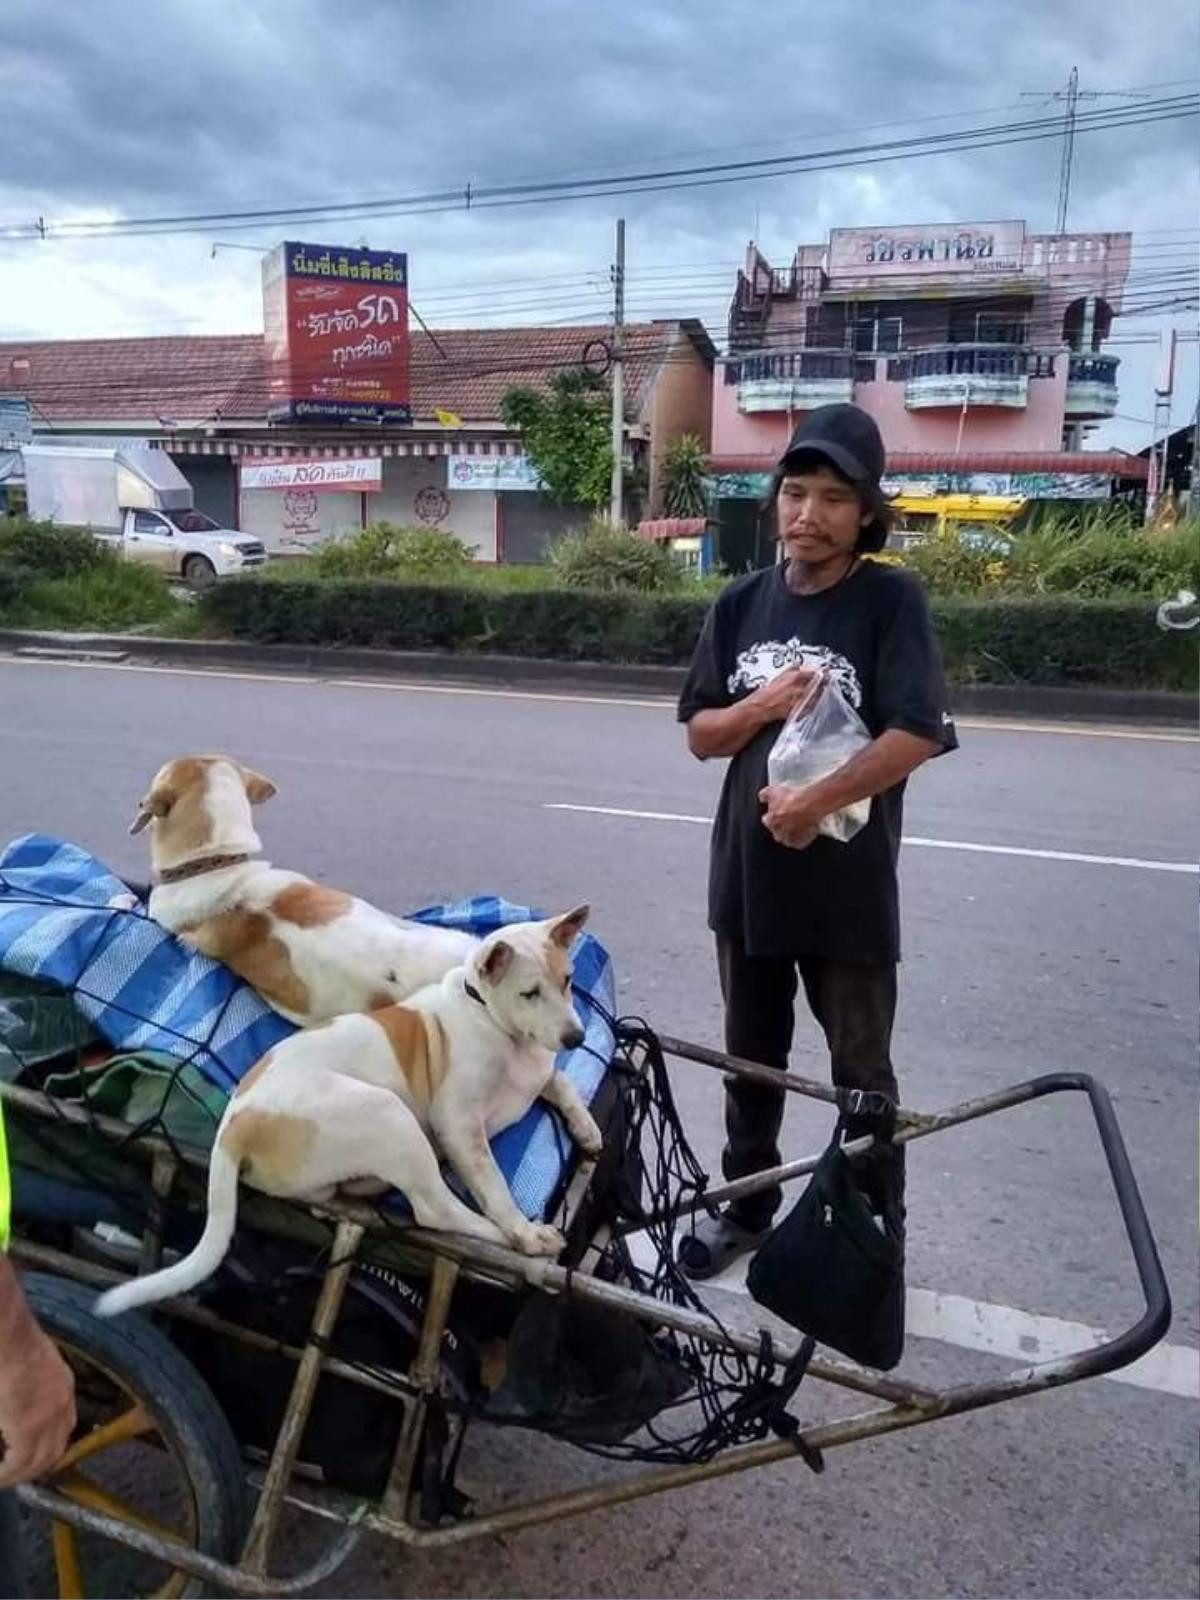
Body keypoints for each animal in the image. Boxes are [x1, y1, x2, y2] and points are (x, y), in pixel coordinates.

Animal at [95, 908, 604, 1318]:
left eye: (568, 981)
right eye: (529, 993)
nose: (576, 1038)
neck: (497, 1024)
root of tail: (233, 1127)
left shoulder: (538, 1072)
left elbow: (561, 1083)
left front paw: (586, 1127)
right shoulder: (459, 1125)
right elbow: (495, 1186)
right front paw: (522, 1231)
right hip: (388, 1112)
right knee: (434, 1210)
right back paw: (507, 1240)